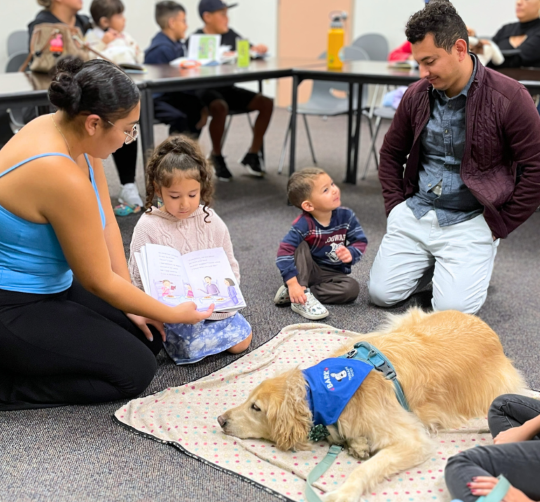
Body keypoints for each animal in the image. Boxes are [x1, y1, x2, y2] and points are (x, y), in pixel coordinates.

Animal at [217, 308, 524, 500]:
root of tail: (487, 328)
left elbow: (367, 468)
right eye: (248, 400)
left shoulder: (413, 439)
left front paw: (342, 493)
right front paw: (357, 444)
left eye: (256, 408)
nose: (220, 420)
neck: (326, 391)